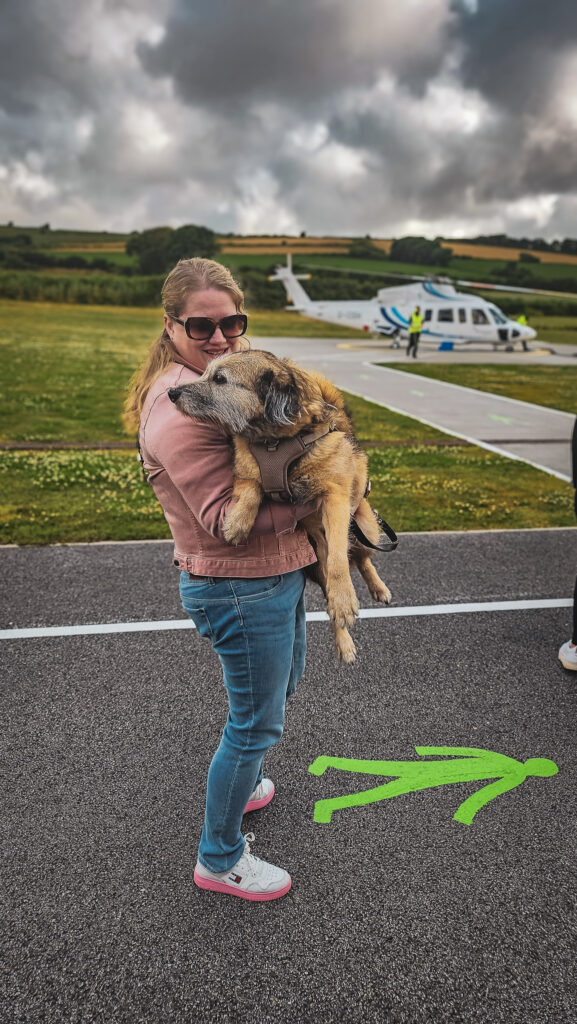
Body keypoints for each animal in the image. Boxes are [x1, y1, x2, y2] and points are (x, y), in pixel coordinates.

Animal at [168, 348, 393, 659]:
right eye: (205, 373)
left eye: (219, 379)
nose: (171, 392)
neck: (272, 440)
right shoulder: (246, 472)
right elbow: (251, 490)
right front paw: (237, 522)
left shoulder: (336, 498)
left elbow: (339, 558)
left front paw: (345, 599)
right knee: (334, 595)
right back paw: (344, 644)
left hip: (365, 523)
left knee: (360, 557)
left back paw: (376, 589)